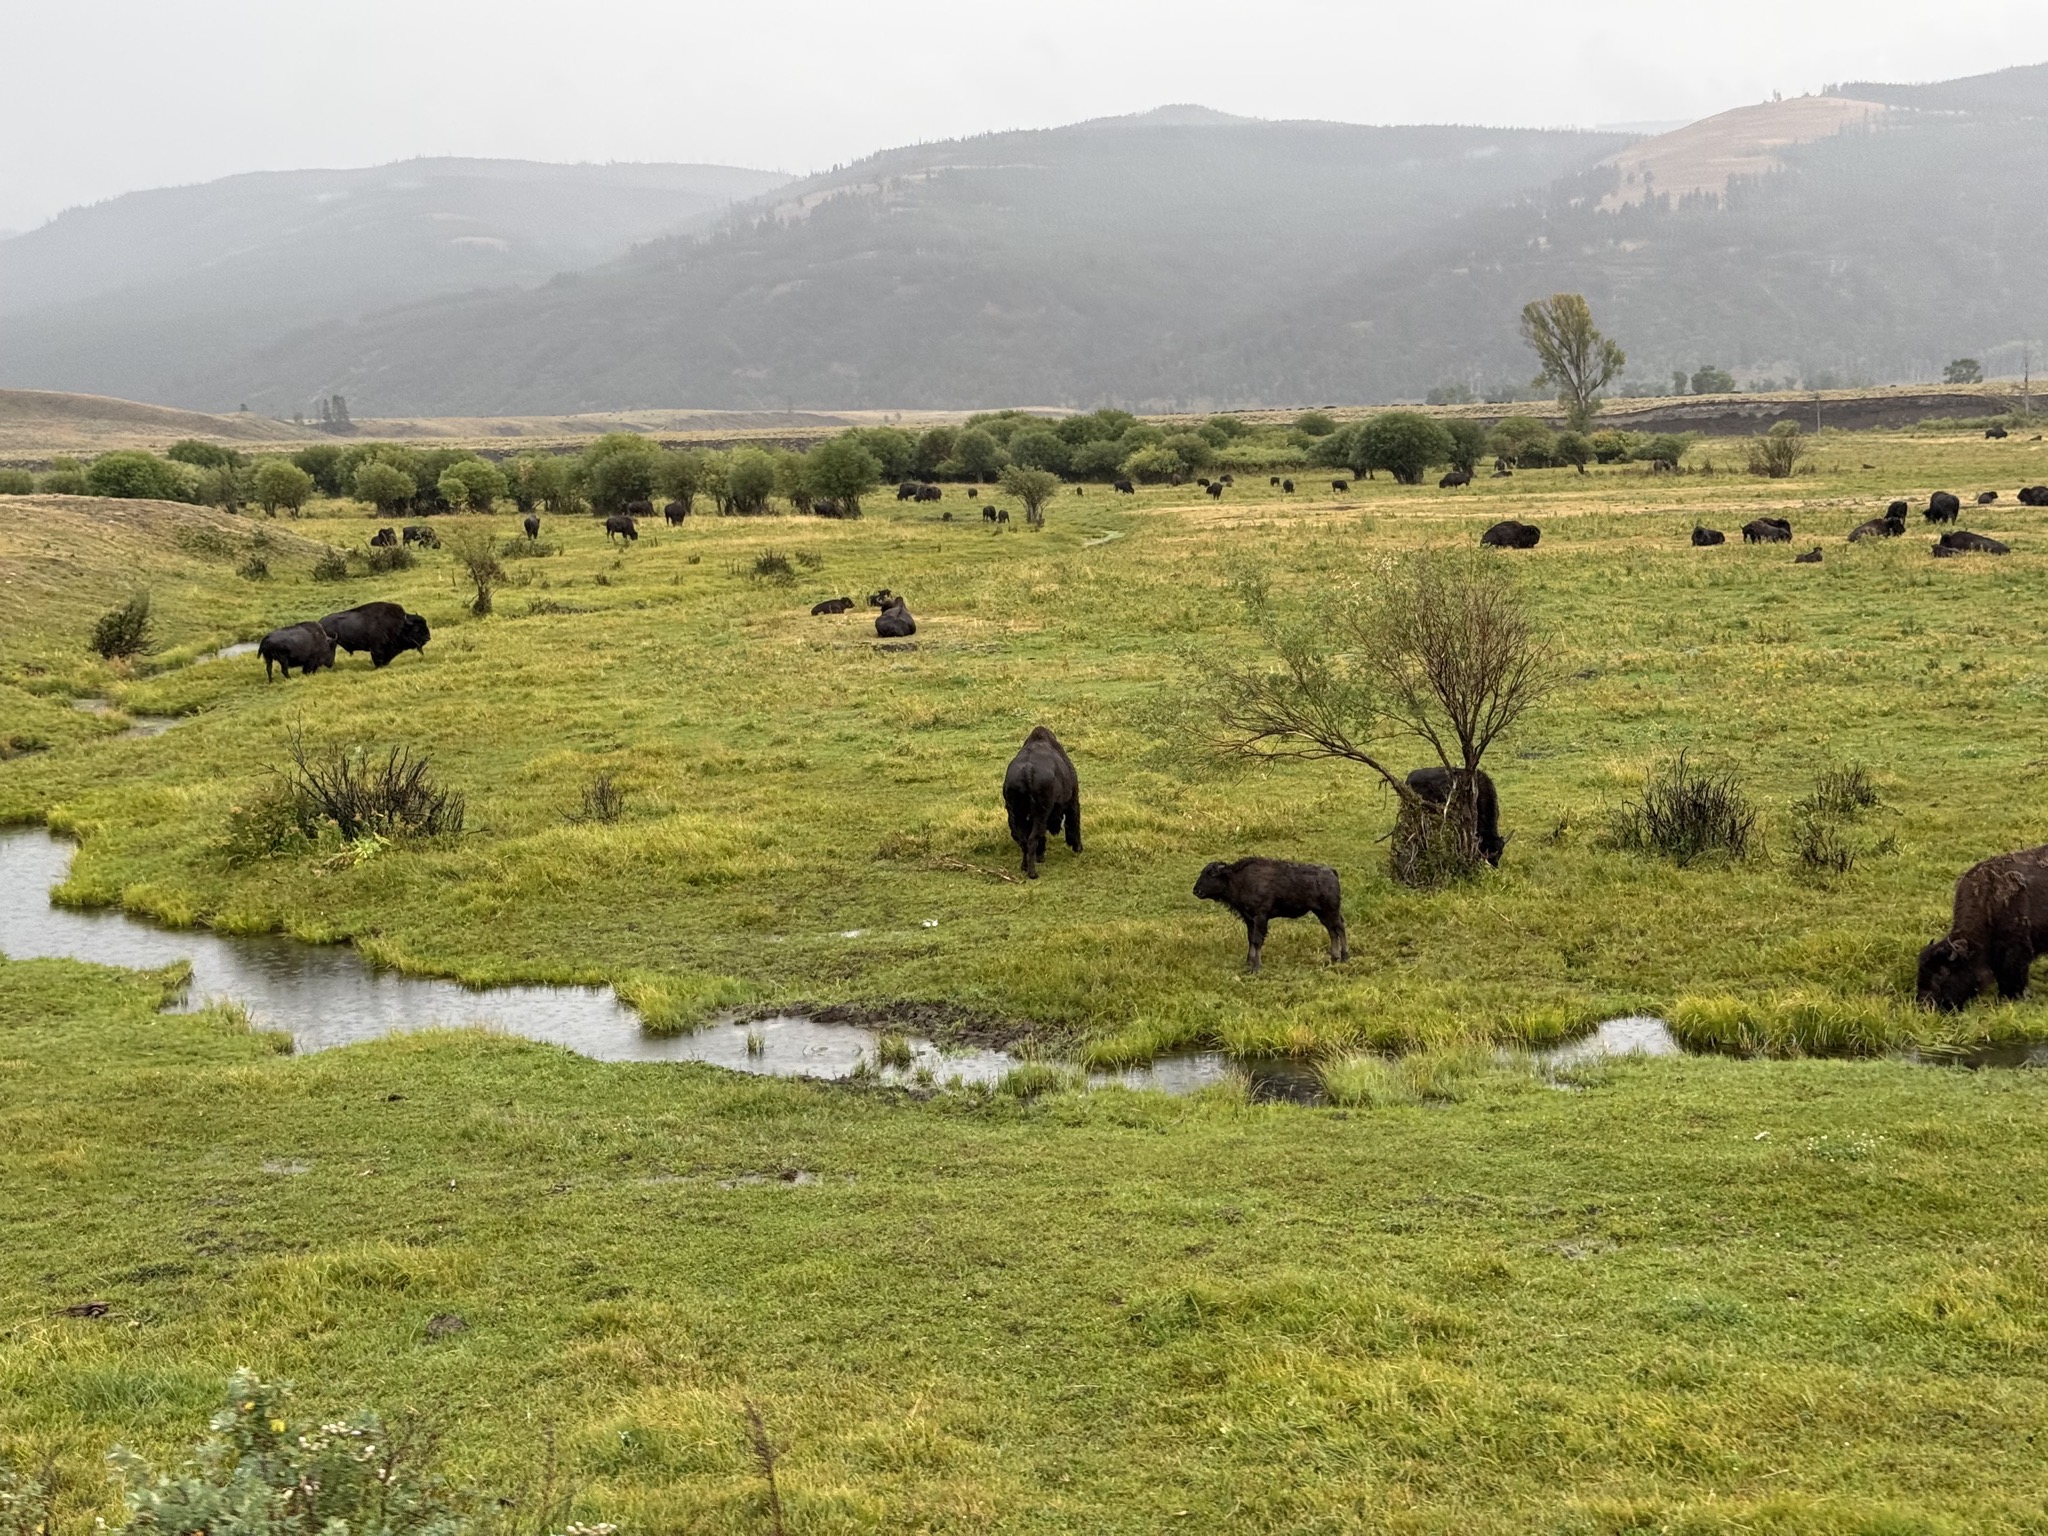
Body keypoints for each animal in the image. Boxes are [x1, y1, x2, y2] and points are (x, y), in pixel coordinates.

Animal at [1002, 725, 1082, 879]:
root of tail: (1027, 770)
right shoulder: (1073, 801)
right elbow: (1073, 823)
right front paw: (1078, 848)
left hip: (1016, 813)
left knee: (1023, 840)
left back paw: (1025, 866)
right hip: (1040, 814)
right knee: (1032, 838)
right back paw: (1033, 873)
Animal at [1193, 858, 1347, 973]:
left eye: (1211, 874)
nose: (1196, 890)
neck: (1237, 879)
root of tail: (1331, 872)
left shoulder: (1260, 918)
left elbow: (1257, 941)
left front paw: (1256, 967)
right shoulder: (1249, 920)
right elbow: (1251, 939)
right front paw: (1248, 963)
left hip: (1331, 910)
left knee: (1339, 928)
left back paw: (1345, 957)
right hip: (1321, 913)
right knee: (1332, 931)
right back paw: (1334, 958)